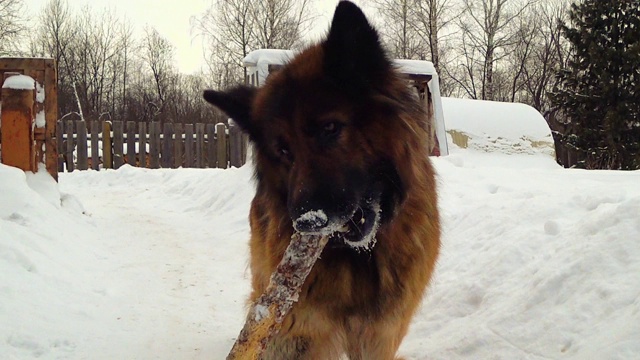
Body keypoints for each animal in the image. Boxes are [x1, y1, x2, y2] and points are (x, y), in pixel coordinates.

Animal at [205, 1, 440, 358]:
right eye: (283, 150)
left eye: (329, 128)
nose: (308, 222)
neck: (360, 257)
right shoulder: (301, 331)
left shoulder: (380, 334)